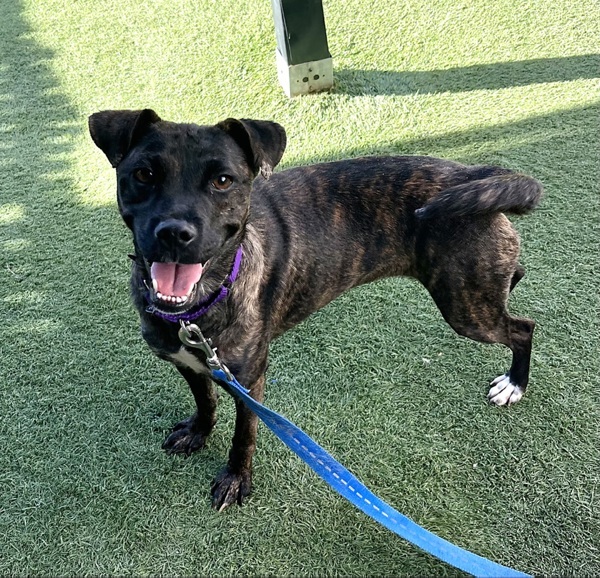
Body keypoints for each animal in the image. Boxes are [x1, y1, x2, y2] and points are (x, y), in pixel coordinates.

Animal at [89, 108, 544, 508]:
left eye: (223, 181)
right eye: (144, 174)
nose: (174, 233)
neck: (198, 307)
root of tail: (474, 173)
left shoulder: (249, 383)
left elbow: (243, 436)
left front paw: (236, 479)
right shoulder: (188, 362)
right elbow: (204, 400)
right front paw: (199, 431)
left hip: (466, 306)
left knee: (523, 327)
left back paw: (514, 384)